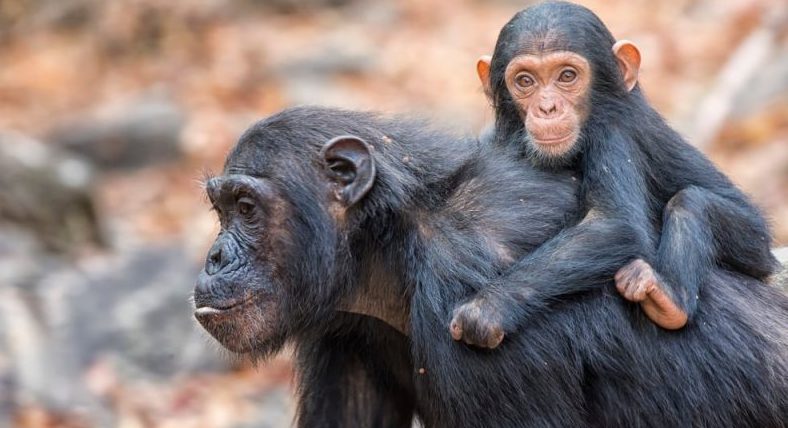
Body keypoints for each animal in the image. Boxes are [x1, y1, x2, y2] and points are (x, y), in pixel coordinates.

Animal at [192, 106, 788, 428]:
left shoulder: (473, 314)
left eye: (247, 208)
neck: (386, 246)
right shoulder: (344, 329)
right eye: (221, 210)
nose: (216, 257)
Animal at [446, 0, 780, 344]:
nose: (548, 107)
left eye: (567, 76)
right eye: (525, 81)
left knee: (691, 202)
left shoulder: (612, 133)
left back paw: (670, 301)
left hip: (753, 239)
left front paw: (486, 309)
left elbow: (613, 223)